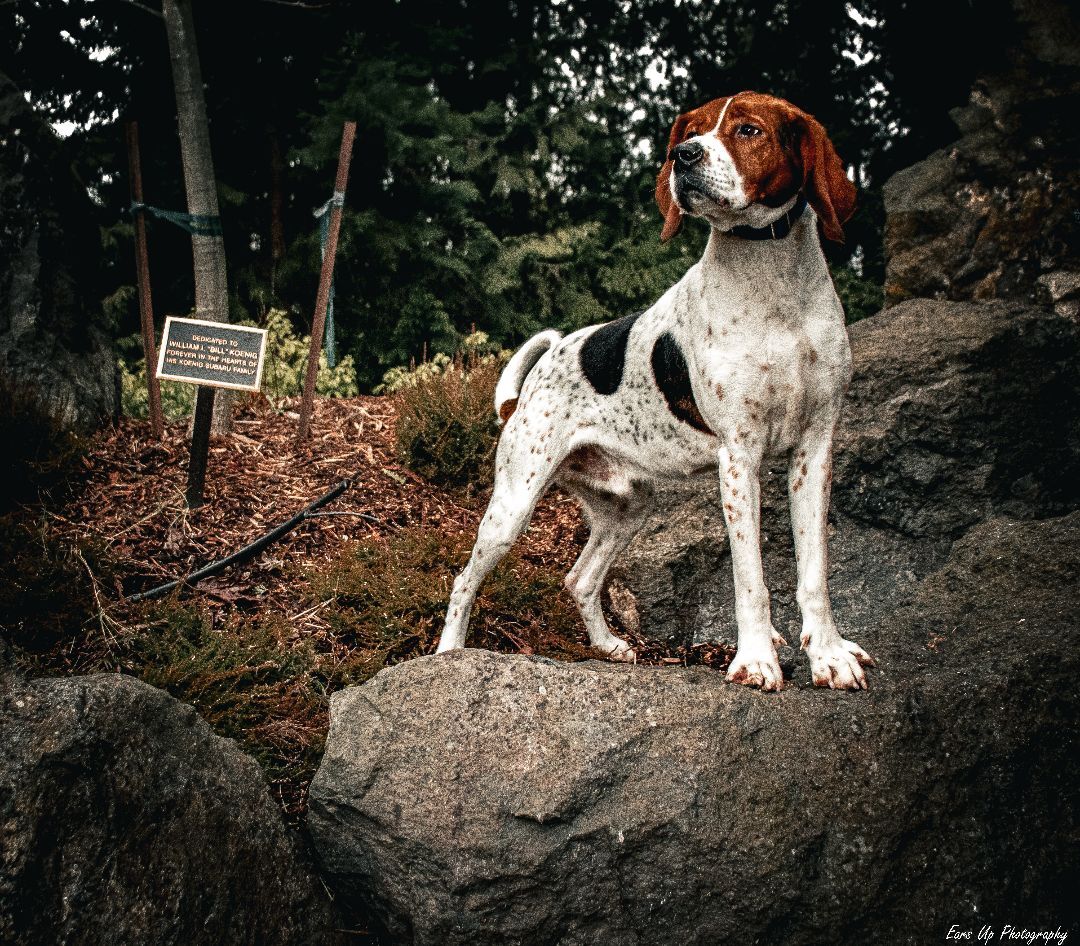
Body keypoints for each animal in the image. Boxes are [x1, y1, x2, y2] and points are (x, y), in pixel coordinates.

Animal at [434, 92, 872, 691]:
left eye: (748, 129)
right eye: (688, 133)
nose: (683, 157)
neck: (774, 283)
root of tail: (533, 380)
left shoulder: (815, 450)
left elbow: (815, 574)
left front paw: (828, 656)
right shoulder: (740, 459)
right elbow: (751, 580)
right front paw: (757, 660)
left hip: (629, 507)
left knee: (579, 579)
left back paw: (608, 646)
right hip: (513, 505)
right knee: (463, 582)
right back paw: (447, 654)